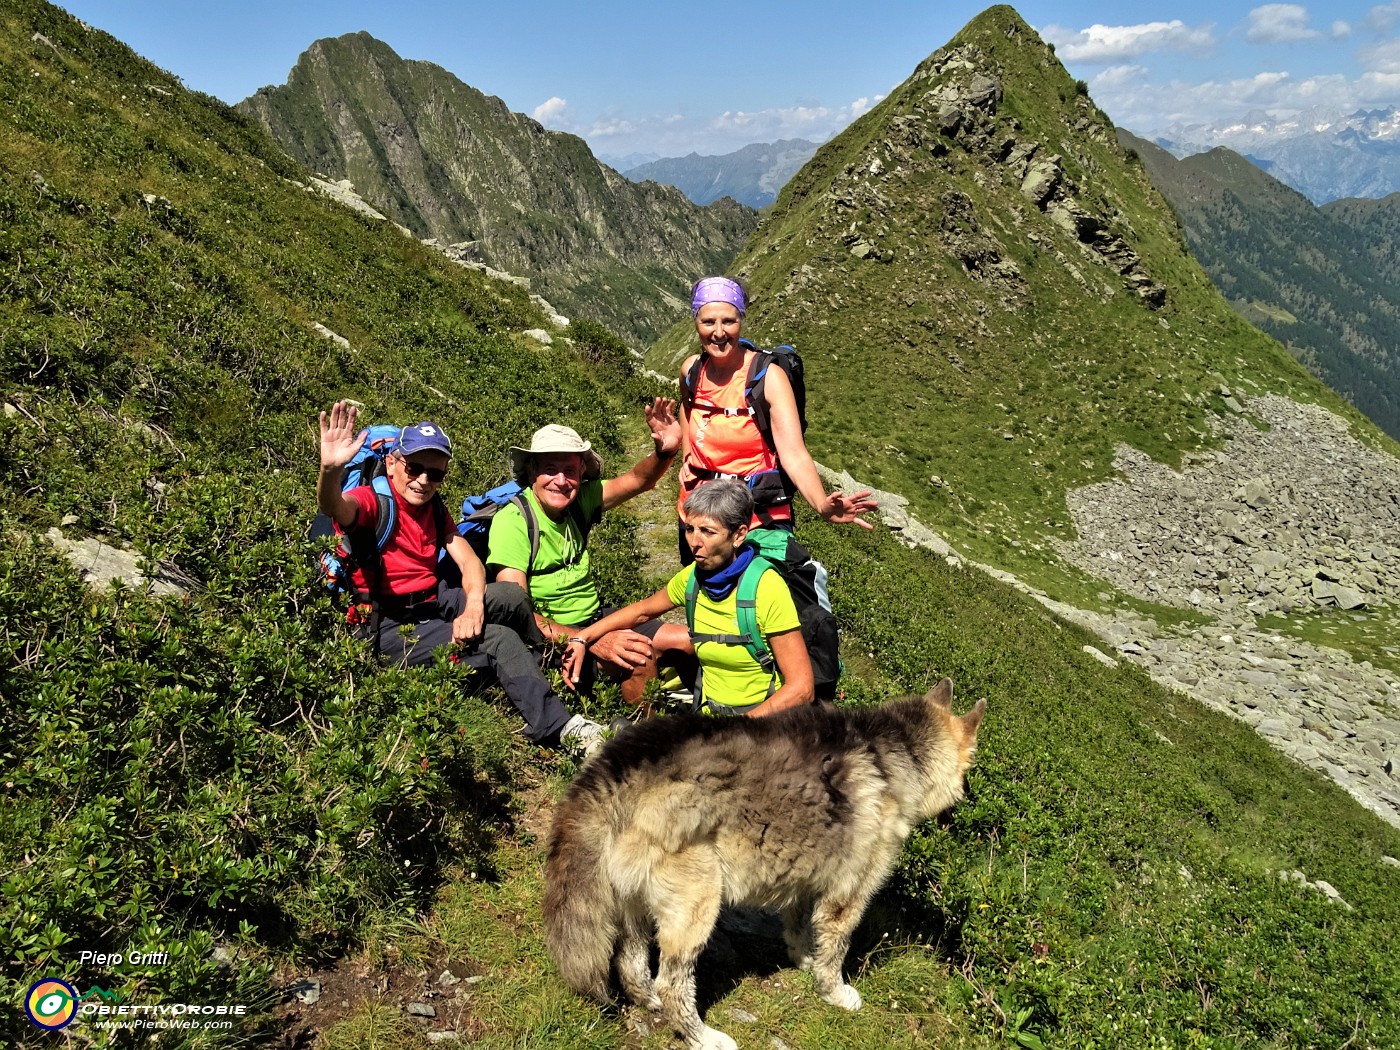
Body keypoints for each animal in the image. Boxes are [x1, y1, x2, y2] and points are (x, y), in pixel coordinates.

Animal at [540, 677, 991, 1047]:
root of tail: (615, 764)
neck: (894, 752)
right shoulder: (848, 895)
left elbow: (800, 928)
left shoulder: (806, 880)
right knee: (673, 982)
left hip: (634, 899)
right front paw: (834, 992)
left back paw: (650, 1001)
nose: (965, 807)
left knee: (631, 965)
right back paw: (701, 1036)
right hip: (698, 900)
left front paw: (804, 960)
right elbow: (836, 951)